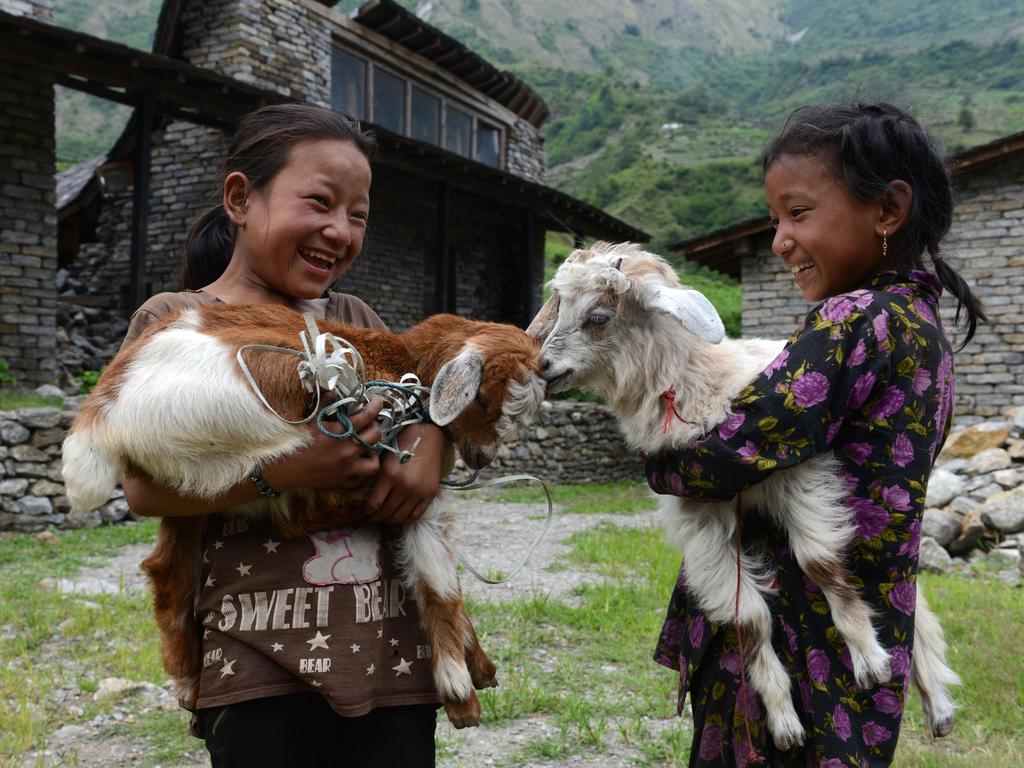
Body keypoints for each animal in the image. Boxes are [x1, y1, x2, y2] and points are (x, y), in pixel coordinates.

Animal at [60, 303, 548, 729]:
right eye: (481, 399)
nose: (482, 457)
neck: (411, 366)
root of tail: (102, 408)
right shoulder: (418, 493)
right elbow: (440, 584)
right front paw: (460, 693)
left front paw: (480, 667)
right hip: (270, 399)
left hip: (183, 486)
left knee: (168, 571)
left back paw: (187, 681)